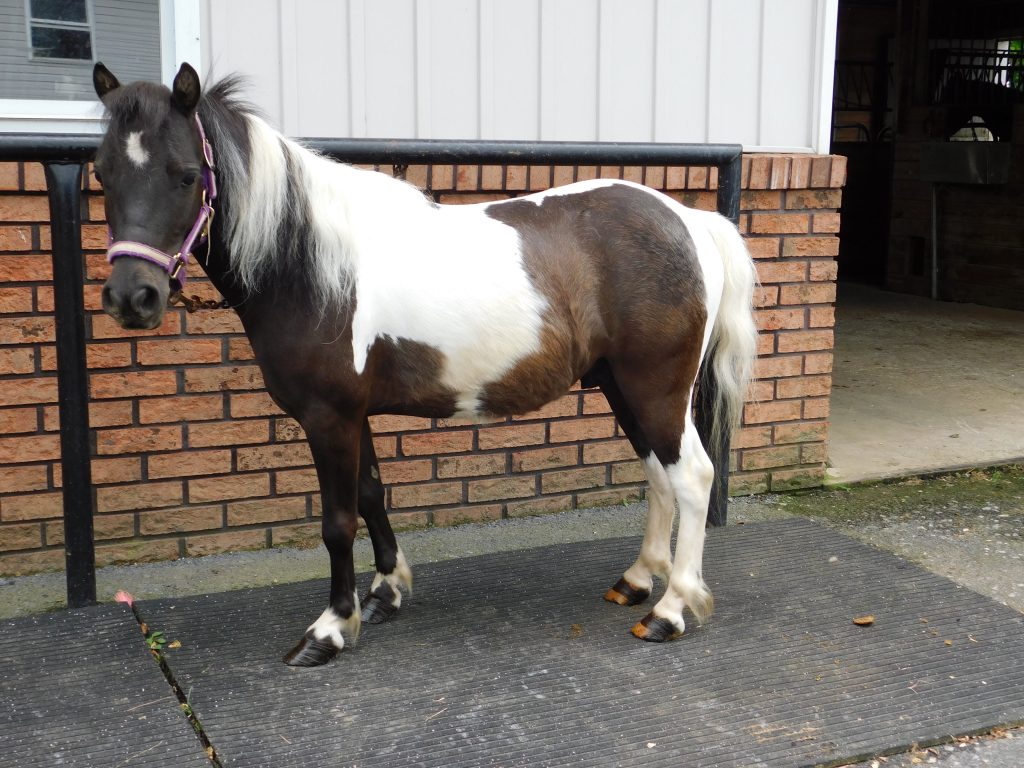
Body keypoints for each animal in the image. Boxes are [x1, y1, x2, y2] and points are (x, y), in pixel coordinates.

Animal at [92, 62, 758, 667]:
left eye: (185, 176)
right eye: (102, 174)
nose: (132, 297)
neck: (311, 265)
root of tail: (688, 221)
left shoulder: (327, 417)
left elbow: (338, 521)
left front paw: (330, 629)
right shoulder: (351, 414)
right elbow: (371, 495)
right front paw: (384, 594)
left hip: (656, 390)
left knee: (691, 477)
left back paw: (671, 610)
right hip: (624, 389)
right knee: (659, 477)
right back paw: (638, 580)